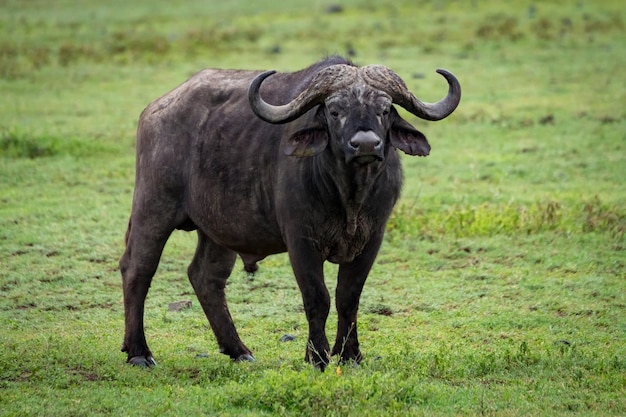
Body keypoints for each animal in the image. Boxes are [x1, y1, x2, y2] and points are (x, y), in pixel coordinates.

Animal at [120, 54, 458, 368]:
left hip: (218, 231)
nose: (365, 145)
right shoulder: (301, 241)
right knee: (137, 269)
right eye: (335, 111)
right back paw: (139, 352)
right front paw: (317, 357)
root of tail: (155, 110)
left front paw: (350, 355)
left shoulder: (372, 239)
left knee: (206, 277)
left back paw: (239, 350)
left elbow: (348, 297)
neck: (349, 196)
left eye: (384, 110)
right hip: (153, 208)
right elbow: (317, 298)